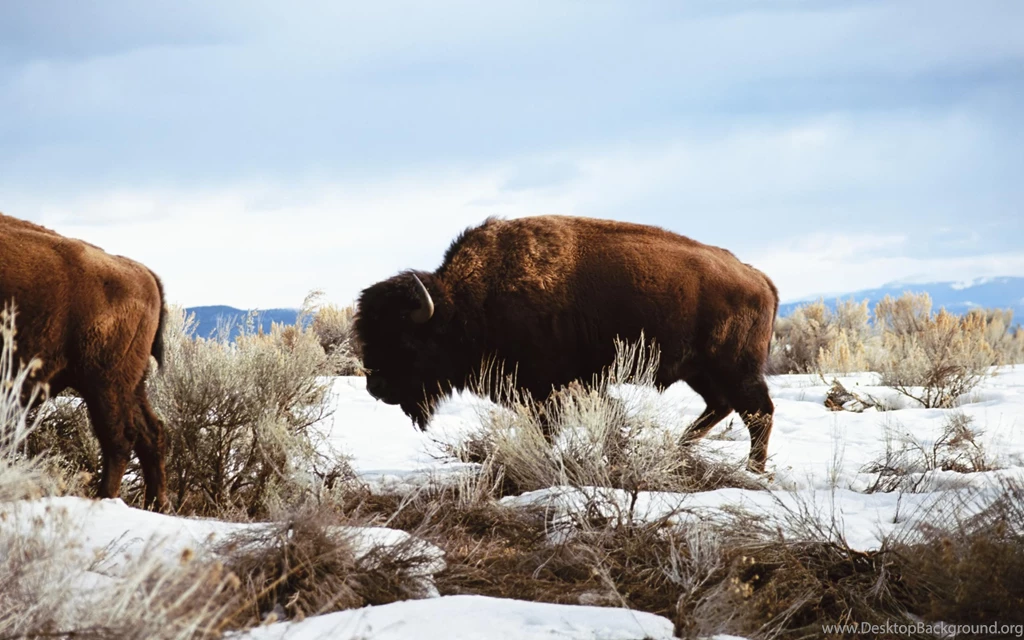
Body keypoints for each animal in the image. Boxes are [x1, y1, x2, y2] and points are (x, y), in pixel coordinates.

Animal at [0, 212, 169, 510]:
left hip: (104, 382)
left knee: (120, 437)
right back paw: (157, 504)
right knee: (151, 434)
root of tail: (143, 273)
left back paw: (104, 499)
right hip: (131, 383)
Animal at [354, 215, 779, 472]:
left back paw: (753, 472)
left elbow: (550, 429)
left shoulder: (546, 390)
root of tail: (757, 278)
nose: (376, 387)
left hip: (734, 368)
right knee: (722, 407)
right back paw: (679, 449)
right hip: (702, 372)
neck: (466, 305)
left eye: (405, 340)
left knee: (758, 412)